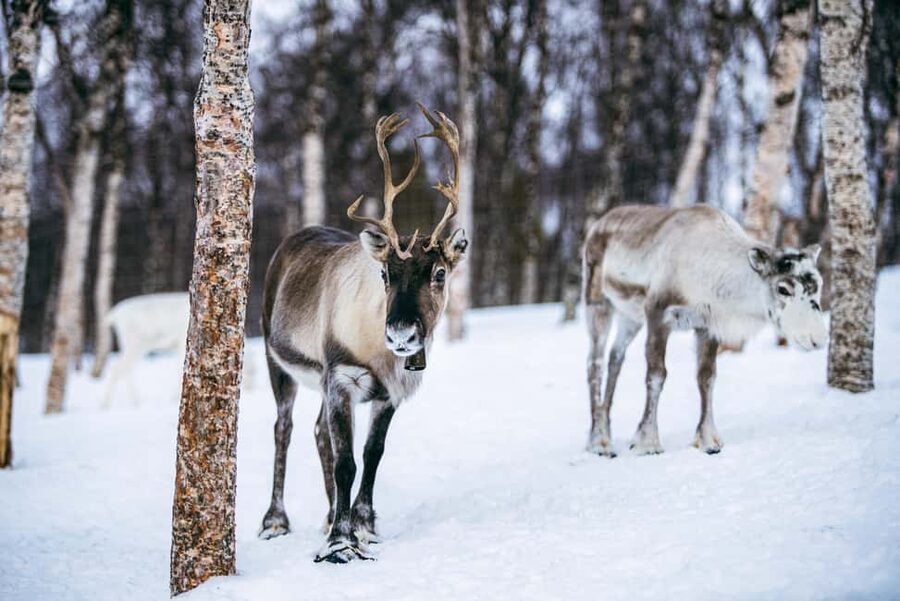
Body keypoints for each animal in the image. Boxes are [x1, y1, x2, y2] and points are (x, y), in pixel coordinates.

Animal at [258, 104, 468, 564]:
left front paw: (363, 526)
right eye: (386, 273)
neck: (380, 355)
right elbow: (347, 463)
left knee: (319, 433)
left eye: (439, 273)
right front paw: (341, 541)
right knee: (285, 428)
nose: (402, 333)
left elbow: (371, 456)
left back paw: (326, 515)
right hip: (276, 361)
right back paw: (275, 521)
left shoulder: (390, 393)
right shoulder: (341, 378)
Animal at [582, 204, 828, 458]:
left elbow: (706, 378)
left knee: (615, 357)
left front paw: (708, 440)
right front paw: (647, 442)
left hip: (630, 317)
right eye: (783, 288)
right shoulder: (658, 314)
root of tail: (598, 223)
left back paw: (606, 432)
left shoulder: (707, 326)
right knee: (594, 362)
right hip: (598, 303)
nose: (817, 339)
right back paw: (598, 442)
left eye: (818, 284)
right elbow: (657, 375)